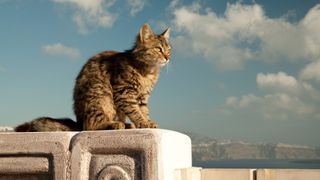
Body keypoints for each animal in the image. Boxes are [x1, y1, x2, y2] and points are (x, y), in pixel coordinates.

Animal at [15, 23, 170, 131]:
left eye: (169, 50)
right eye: (158, 49)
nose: (168, 58)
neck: (148, 71)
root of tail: (79, 122)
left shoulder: (142, 97)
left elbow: (144, 111)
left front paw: (147, 122)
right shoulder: (125, 93)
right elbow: (135, 111)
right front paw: (143, 123)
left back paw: (125, 124)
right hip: (100, 96)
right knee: (90, 126)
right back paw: (114, 124)